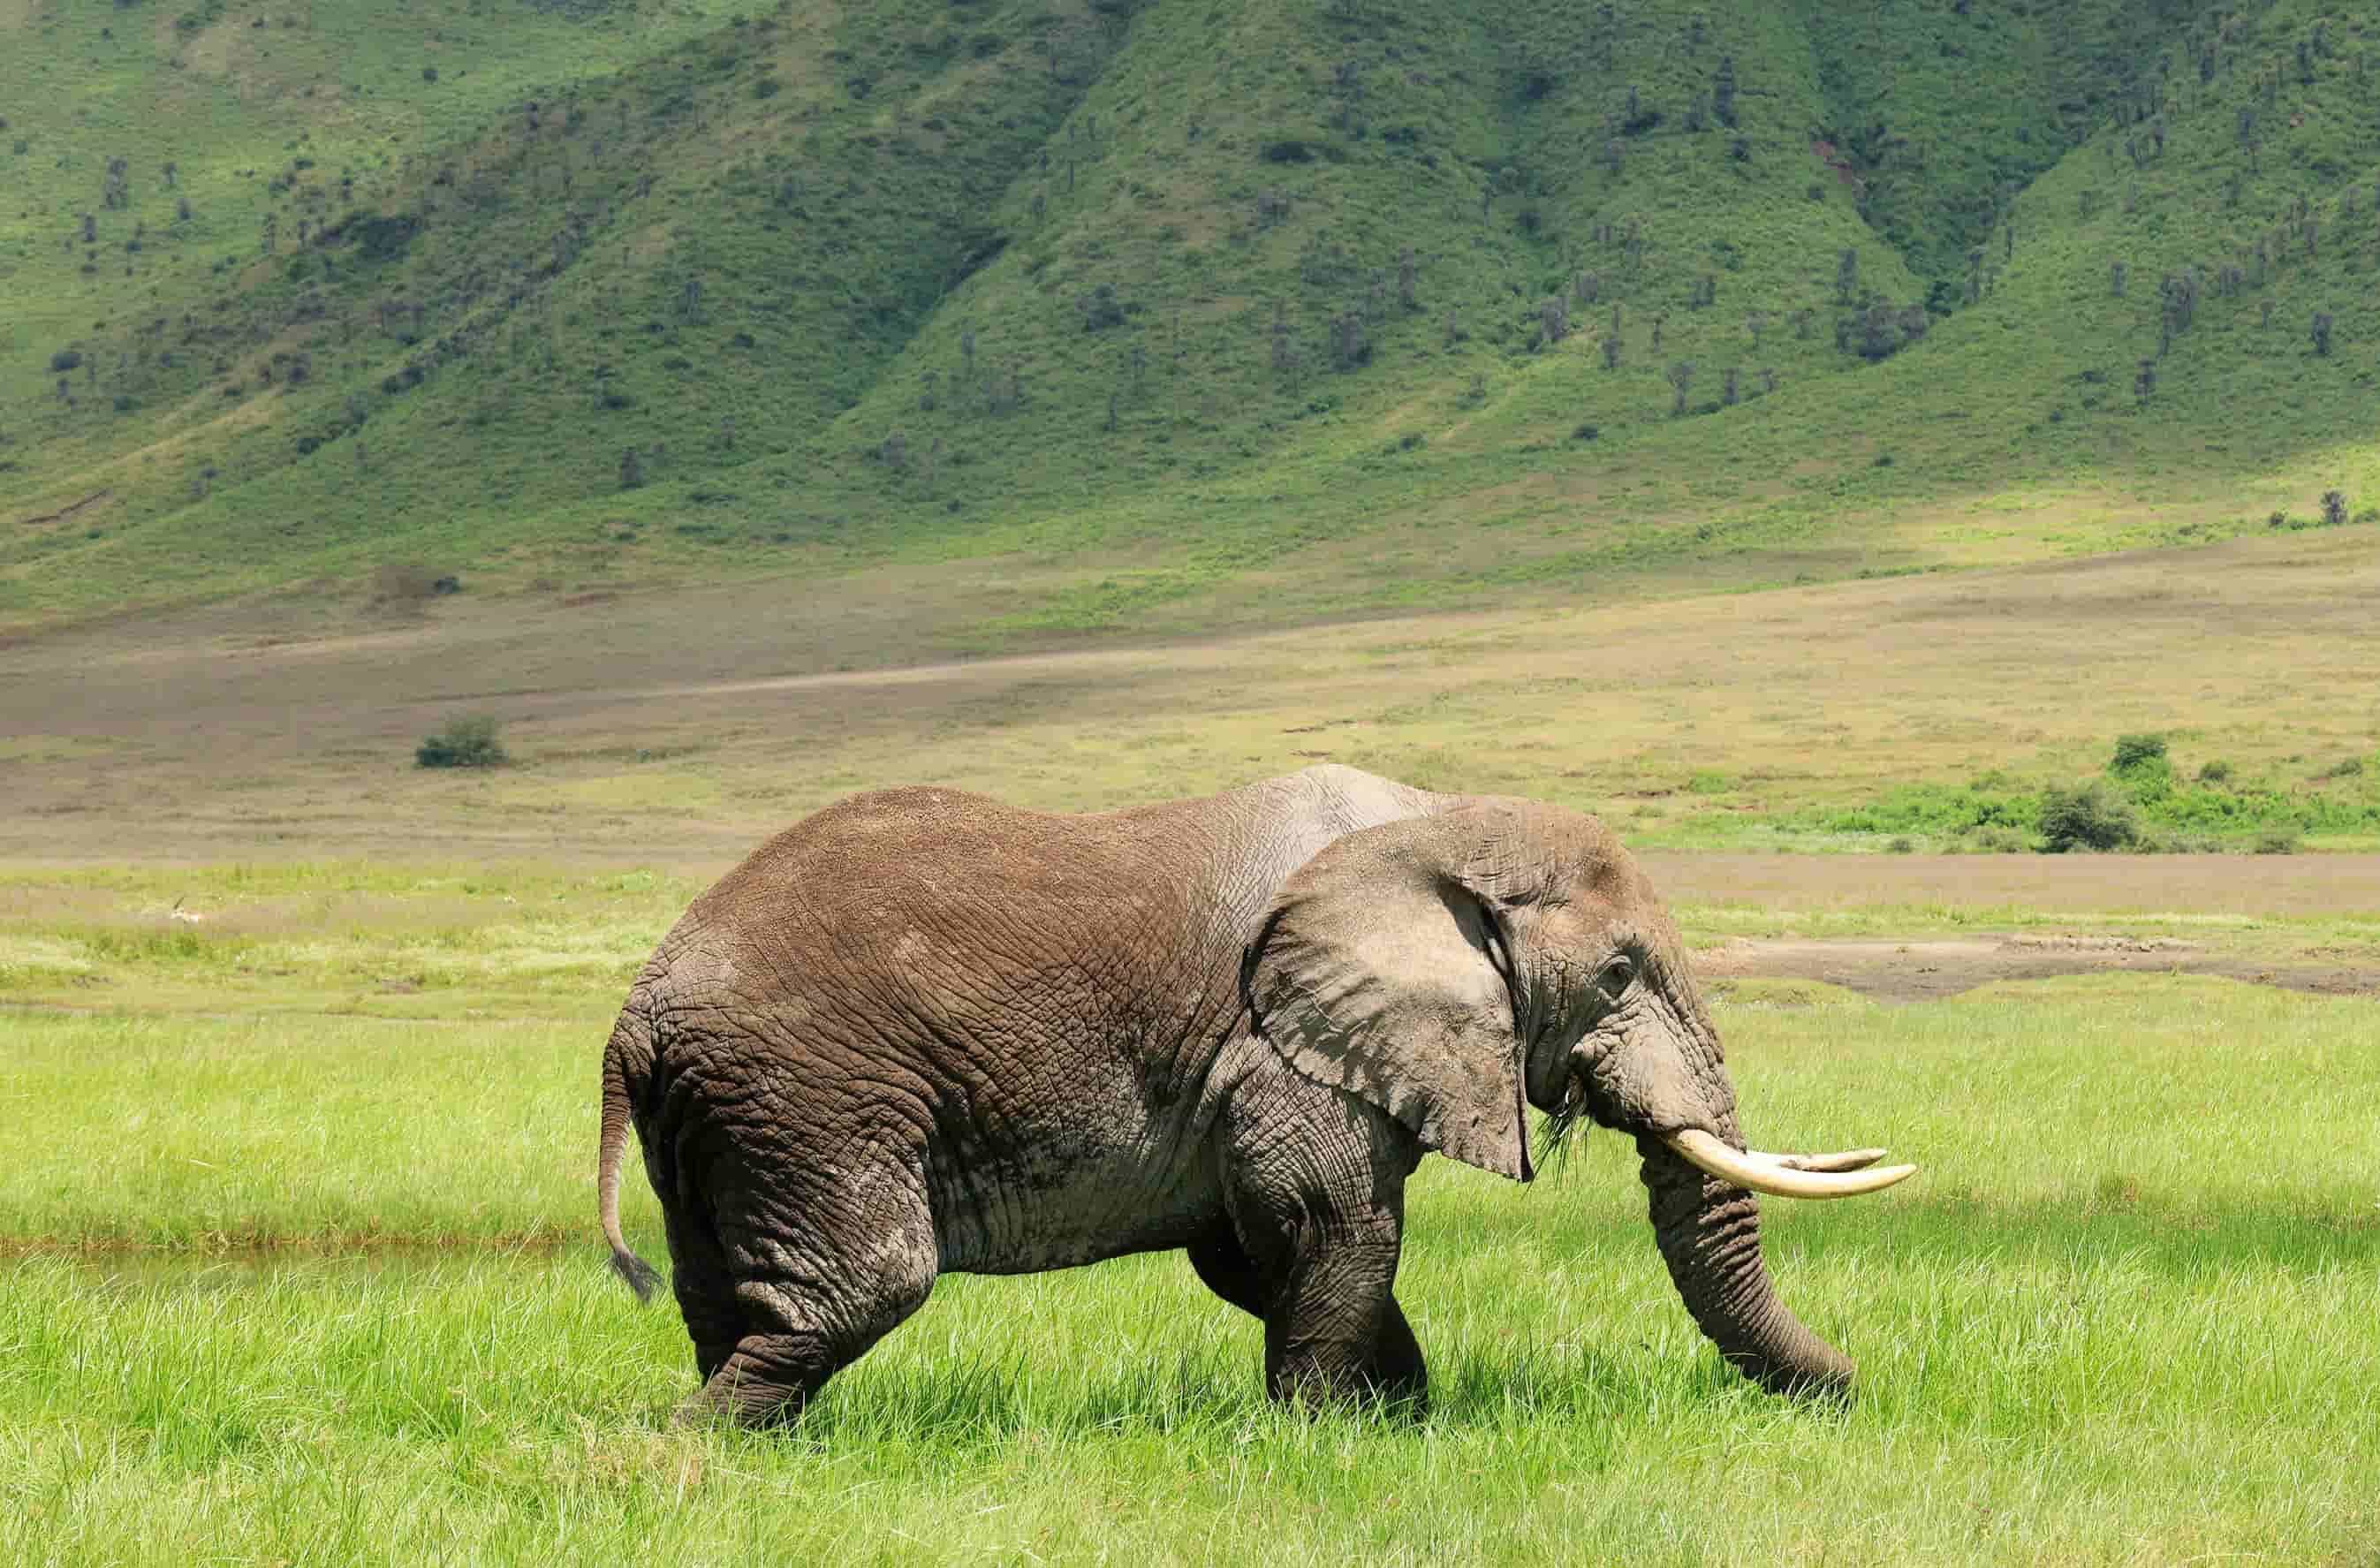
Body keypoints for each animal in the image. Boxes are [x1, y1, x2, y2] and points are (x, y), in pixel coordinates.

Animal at [597, 764, 1914, 1426]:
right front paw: (1316, 1441)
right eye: (1620, 971)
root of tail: (635, 1014)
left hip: (722, 1119)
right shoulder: (1277, 1043)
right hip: (811, 1096)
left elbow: (1256, 1250)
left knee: (726, 1294)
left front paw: (1399, 1425)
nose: (1861, 1390)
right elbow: (1329, 1226)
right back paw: (675, 1445)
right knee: (860, 1288)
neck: (1436, 819)